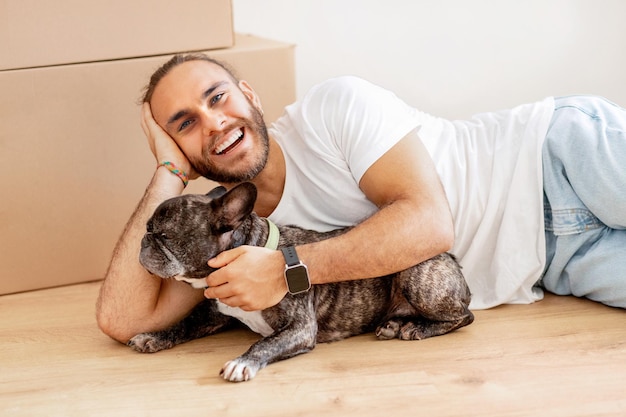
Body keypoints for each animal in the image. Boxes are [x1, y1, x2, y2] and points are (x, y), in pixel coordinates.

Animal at [132, 182, 472, 380]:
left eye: (164, 235)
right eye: (149, 229)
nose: (144, 240)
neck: (251, 247)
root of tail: (451, 258)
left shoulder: (300, 328)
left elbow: (266, 342)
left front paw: (243, 361)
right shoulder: (215, 313)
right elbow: (183, 324)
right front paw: (154, 336)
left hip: (417, 278)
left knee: (463, 317)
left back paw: (417, 327)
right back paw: (396, 324)